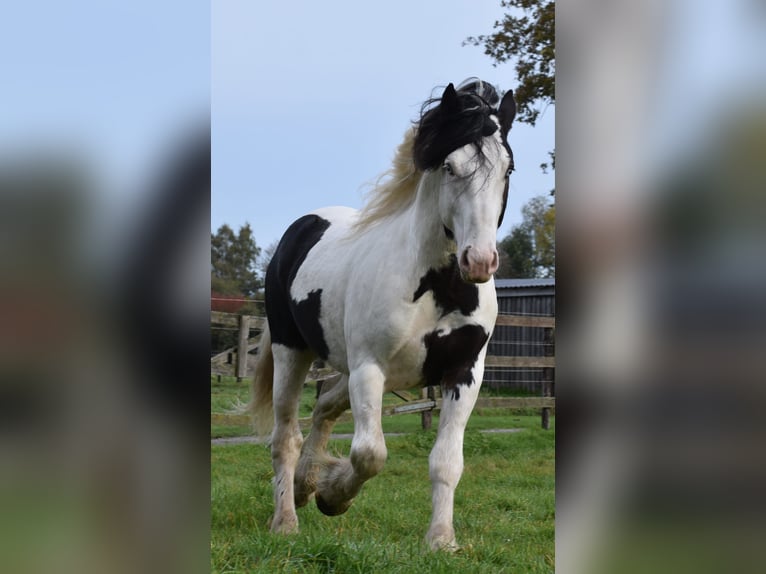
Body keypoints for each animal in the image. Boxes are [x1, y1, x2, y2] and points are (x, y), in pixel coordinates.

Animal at [249, 79, 520, 552]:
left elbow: (446, 461)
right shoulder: (369, 367)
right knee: (285, 436)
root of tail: (303, 226)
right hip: (293, 352)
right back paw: (286, 518)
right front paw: (334, 497)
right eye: (449, 166)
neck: (438, 287)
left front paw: (441, 540)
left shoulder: (464, 372)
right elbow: (370, 453)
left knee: (324, 407)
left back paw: (305, 485)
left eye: (509, 169)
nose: (480, 261)